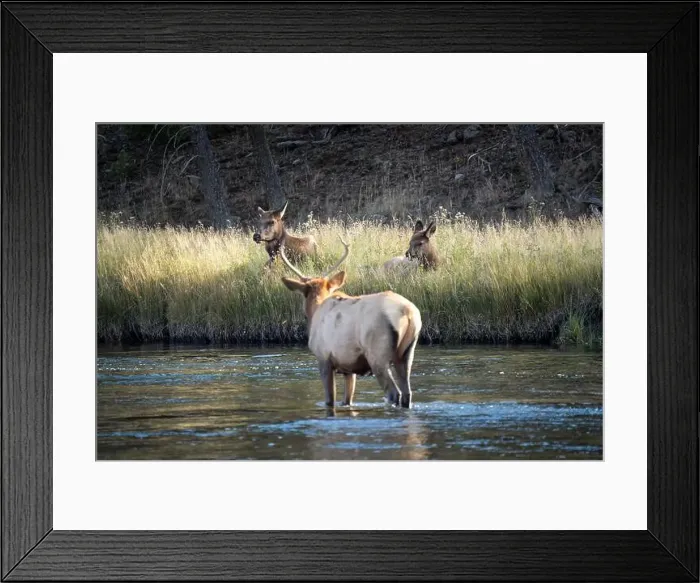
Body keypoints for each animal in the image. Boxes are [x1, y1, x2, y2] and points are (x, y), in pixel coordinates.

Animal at [280, 237, 422, 409]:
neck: (316, 309)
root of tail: (408, 312)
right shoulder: (349, 368)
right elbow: (347, 400)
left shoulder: (323, 358)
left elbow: (330, 400)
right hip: (407, 354)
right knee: (407, 393)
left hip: (378, 354)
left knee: (394, 392)